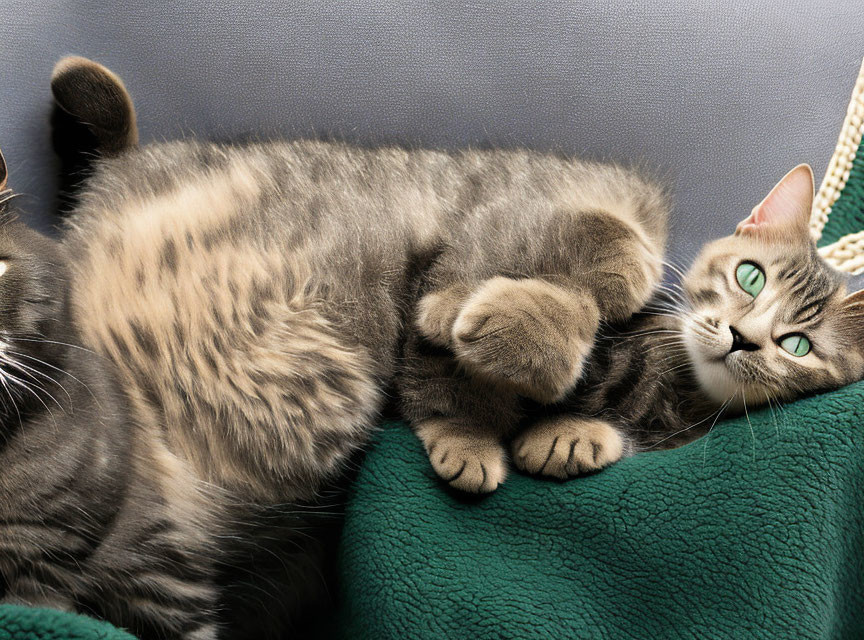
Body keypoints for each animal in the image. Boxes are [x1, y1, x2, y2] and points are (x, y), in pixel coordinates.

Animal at [1, 56, 864, 640]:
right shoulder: (560, 196)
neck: (657, 370)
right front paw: (480, 325)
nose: (745, 338)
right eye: (748, 276)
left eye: (798, 343)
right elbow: (611, 253)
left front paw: (566, 431)